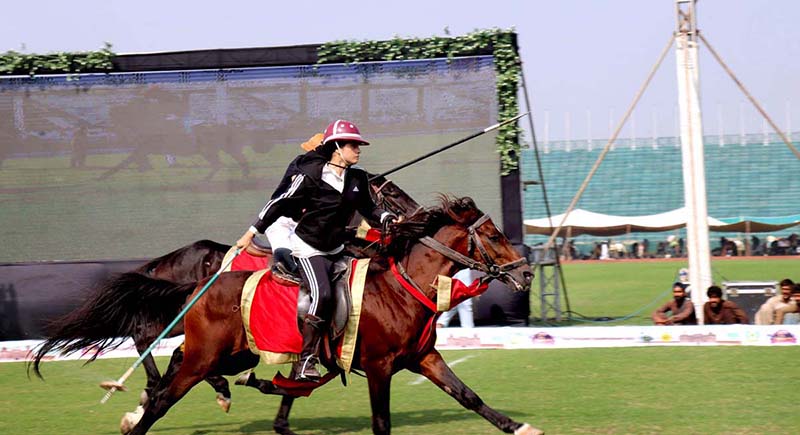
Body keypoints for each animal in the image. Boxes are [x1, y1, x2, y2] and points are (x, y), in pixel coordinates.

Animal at [122, 198, 540, 435]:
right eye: (494, 235)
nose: (526, 273)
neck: (401, 289)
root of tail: (200, 285)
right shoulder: (378, 366)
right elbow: (381, 421)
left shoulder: (424, 357)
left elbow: (468, 395)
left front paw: (518, 425)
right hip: (206, 357)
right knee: (163, 391)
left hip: (231, 355)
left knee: (179, 368)